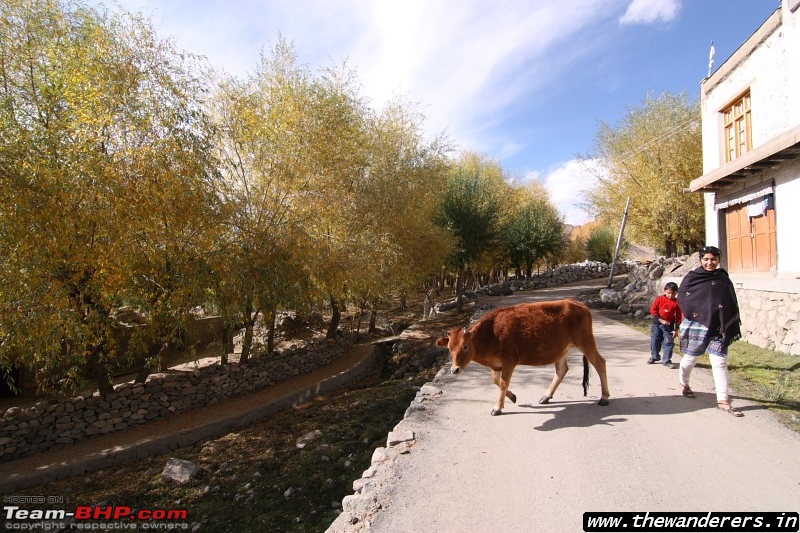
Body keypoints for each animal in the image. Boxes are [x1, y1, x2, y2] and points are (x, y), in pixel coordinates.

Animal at [434, 298, 608, 414]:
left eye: (465, 346)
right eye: (449, 348)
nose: (455, 370)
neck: (491, 334)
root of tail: (579, 304)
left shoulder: (509, 360)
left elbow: (503, 383)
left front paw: (497, 407)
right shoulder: (497, 363)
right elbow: (495, 380)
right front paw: (512, 397)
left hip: (585, 341)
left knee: (600, 363)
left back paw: (604, 398)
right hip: (562, 349)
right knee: (561, 370)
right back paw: (546, 396)